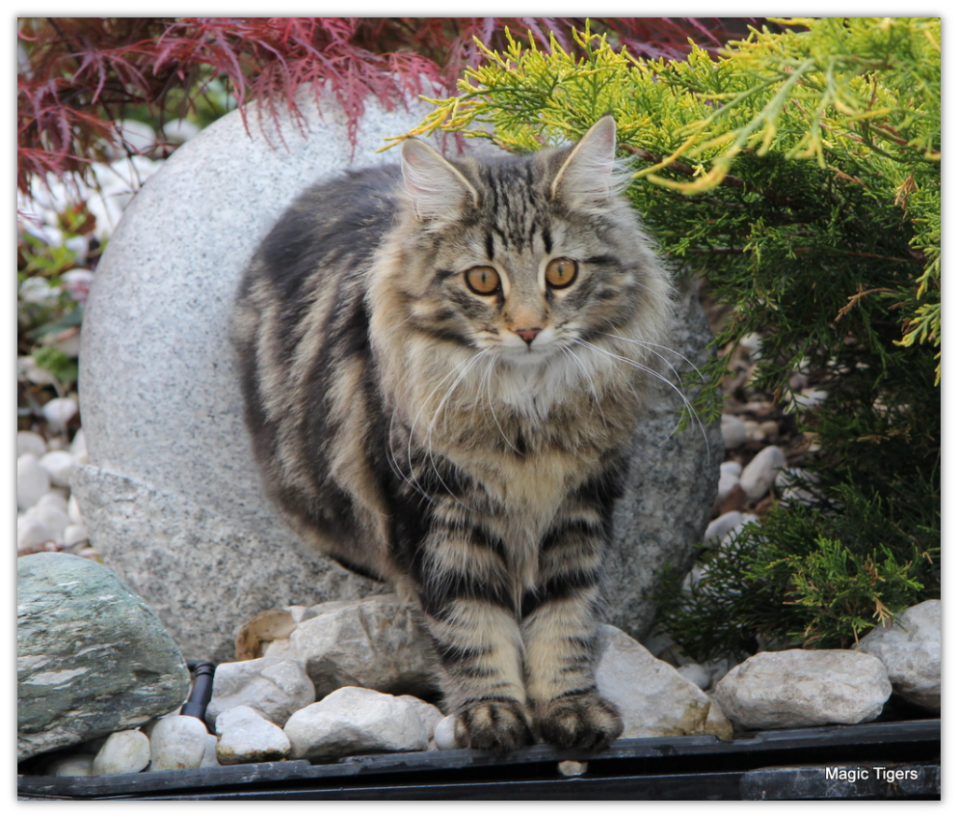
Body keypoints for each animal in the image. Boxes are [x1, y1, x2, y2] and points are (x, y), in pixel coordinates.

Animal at [231, 115, 673, 755]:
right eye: (483, 280)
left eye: (561, 272)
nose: (529, 329)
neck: (525, 420)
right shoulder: (437, 515)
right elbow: (472, 625)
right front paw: (492, 716)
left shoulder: (578, 510)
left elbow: (564, 620)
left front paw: (571, 710)